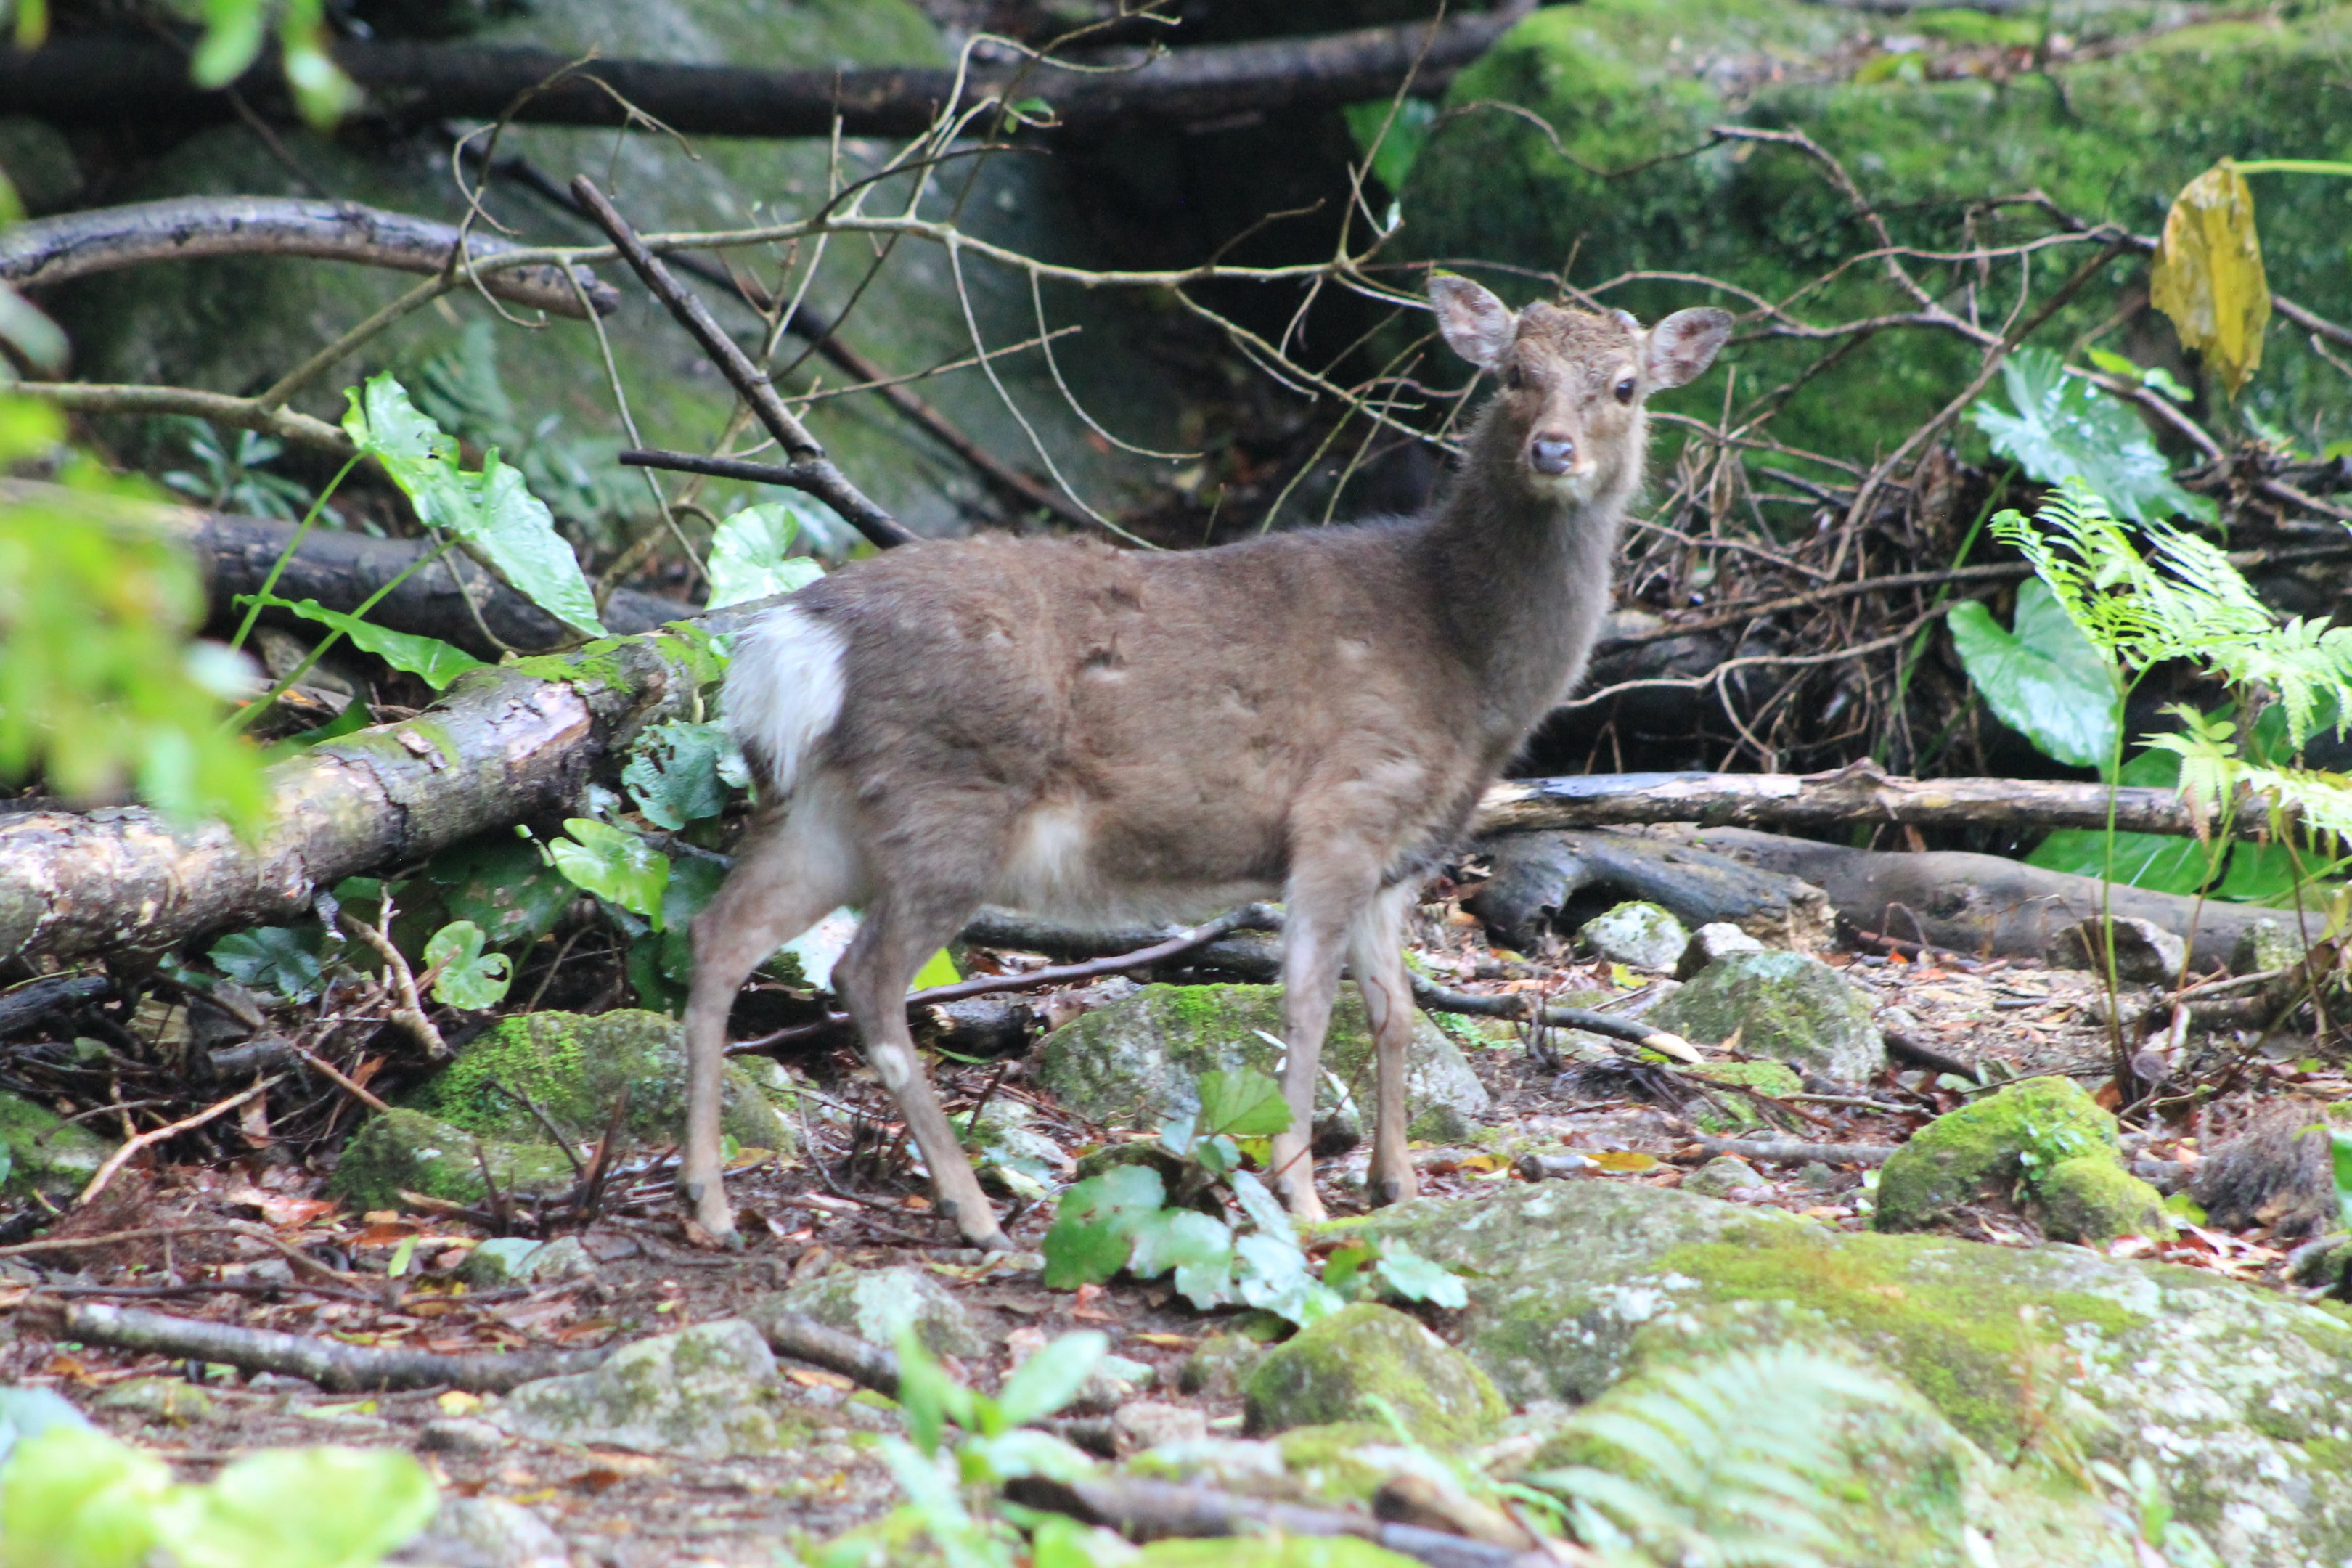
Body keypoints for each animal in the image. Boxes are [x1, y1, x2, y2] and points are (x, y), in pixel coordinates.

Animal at [678, 274, 1730, 1250]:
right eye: (1513, 373)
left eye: (1627, 386)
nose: (1553, 449)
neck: (1470, 674)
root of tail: (797, 643)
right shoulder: (1344, 808)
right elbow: (1308, 1004)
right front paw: (1302, 1195)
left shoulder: (1402, 855)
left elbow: (1394, 1010)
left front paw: (1393, 1184)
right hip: (949, 800)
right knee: (865, 976)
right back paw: (970, 1210)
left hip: (823, 811)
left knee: (720, 934)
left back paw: (710, 1202)